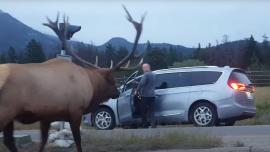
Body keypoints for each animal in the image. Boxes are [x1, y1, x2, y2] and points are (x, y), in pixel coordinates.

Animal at [0, 6, 146, 152]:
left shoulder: (47, 115)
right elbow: (78, 141)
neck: (91, 87)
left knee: (9, 140)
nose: (118, 92)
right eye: (112, 80)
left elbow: (43, 141)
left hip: (10, 116)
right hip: (6, 109)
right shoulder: (76, 110)